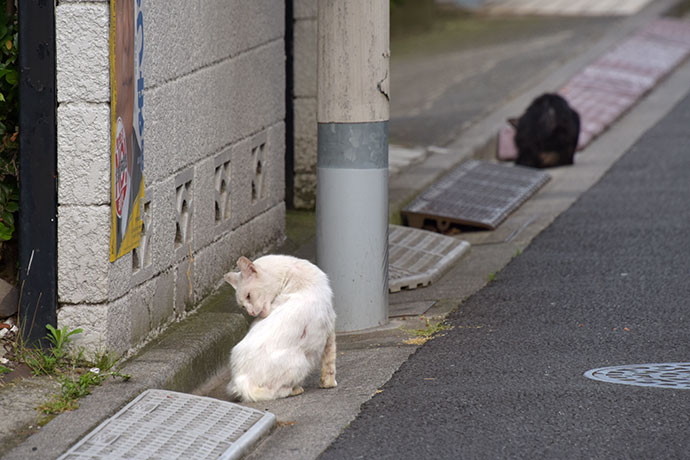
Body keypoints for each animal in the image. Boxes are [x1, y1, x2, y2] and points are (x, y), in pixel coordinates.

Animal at [223, 253, 336, 400]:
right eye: (242, 306)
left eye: (248, 296)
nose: (250, 313)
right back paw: (296, 389)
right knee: (278, 391)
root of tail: (242, 382)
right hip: (301, 362)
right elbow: (330, 361)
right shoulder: (330, 327)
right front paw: (329, 384)